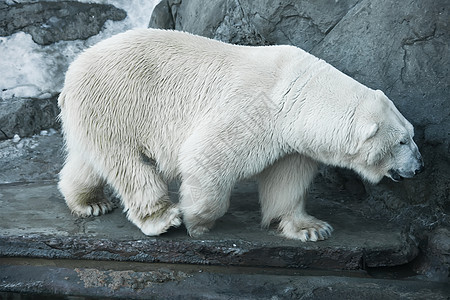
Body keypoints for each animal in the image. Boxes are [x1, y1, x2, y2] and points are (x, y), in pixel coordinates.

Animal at [58, 28, 424, 243]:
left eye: (411, 134)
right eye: (401, 141)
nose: (419, 166)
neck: (299, 94)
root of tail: (74, 68)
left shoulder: (292, 140)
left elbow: (287, 178)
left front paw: (311, 228)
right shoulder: (255, 110)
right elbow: (206, 156)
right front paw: (197, 221)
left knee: (89, 159)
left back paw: (89, 202)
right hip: (119, 102)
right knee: (129, 164)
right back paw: (160, 218)